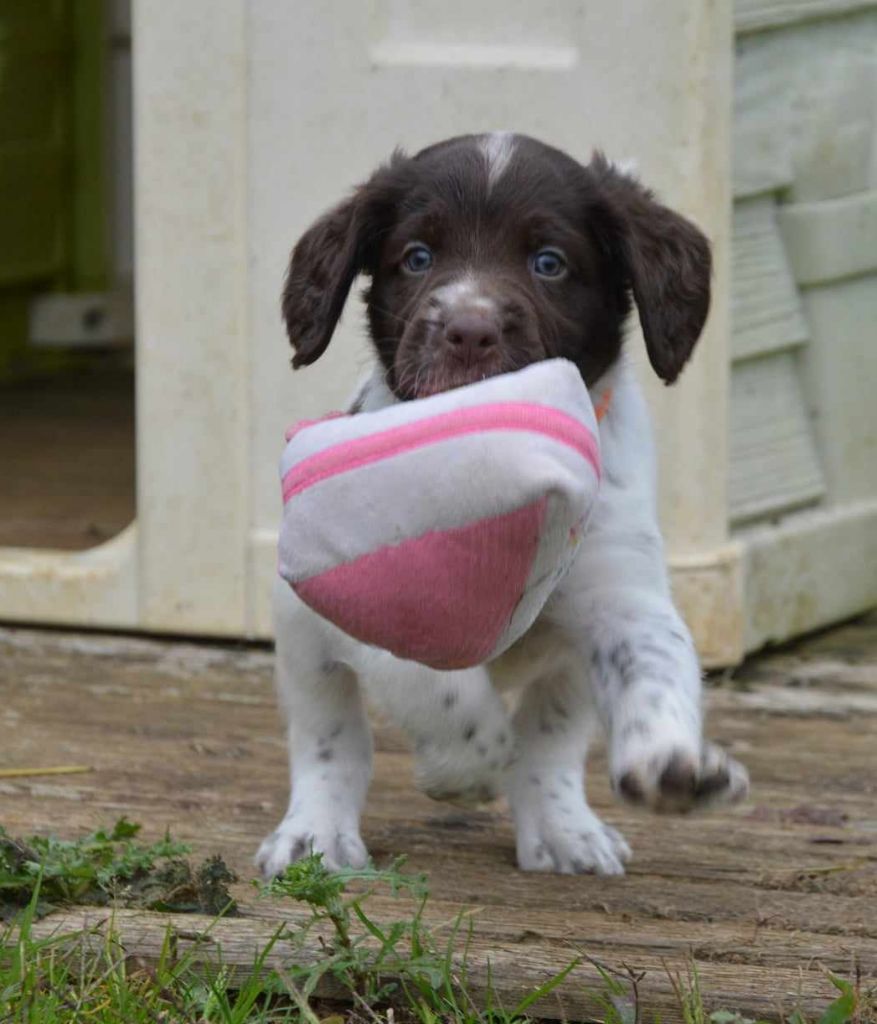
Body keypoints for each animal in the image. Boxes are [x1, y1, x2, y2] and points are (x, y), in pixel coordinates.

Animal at [257, 132, 749, 876]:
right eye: (417, 257)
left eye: (549, 263)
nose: (468, 330)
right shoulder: (375, 601)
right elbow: (439, 693)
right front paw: (464, 768)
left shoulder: (621, 597)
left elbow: (653, 674)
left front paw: (672, 767)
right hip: (301, 634)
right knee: (330, 736)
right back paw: (315, 832)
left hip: (566, 665)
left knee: (550, 737)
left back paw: (564, 829)